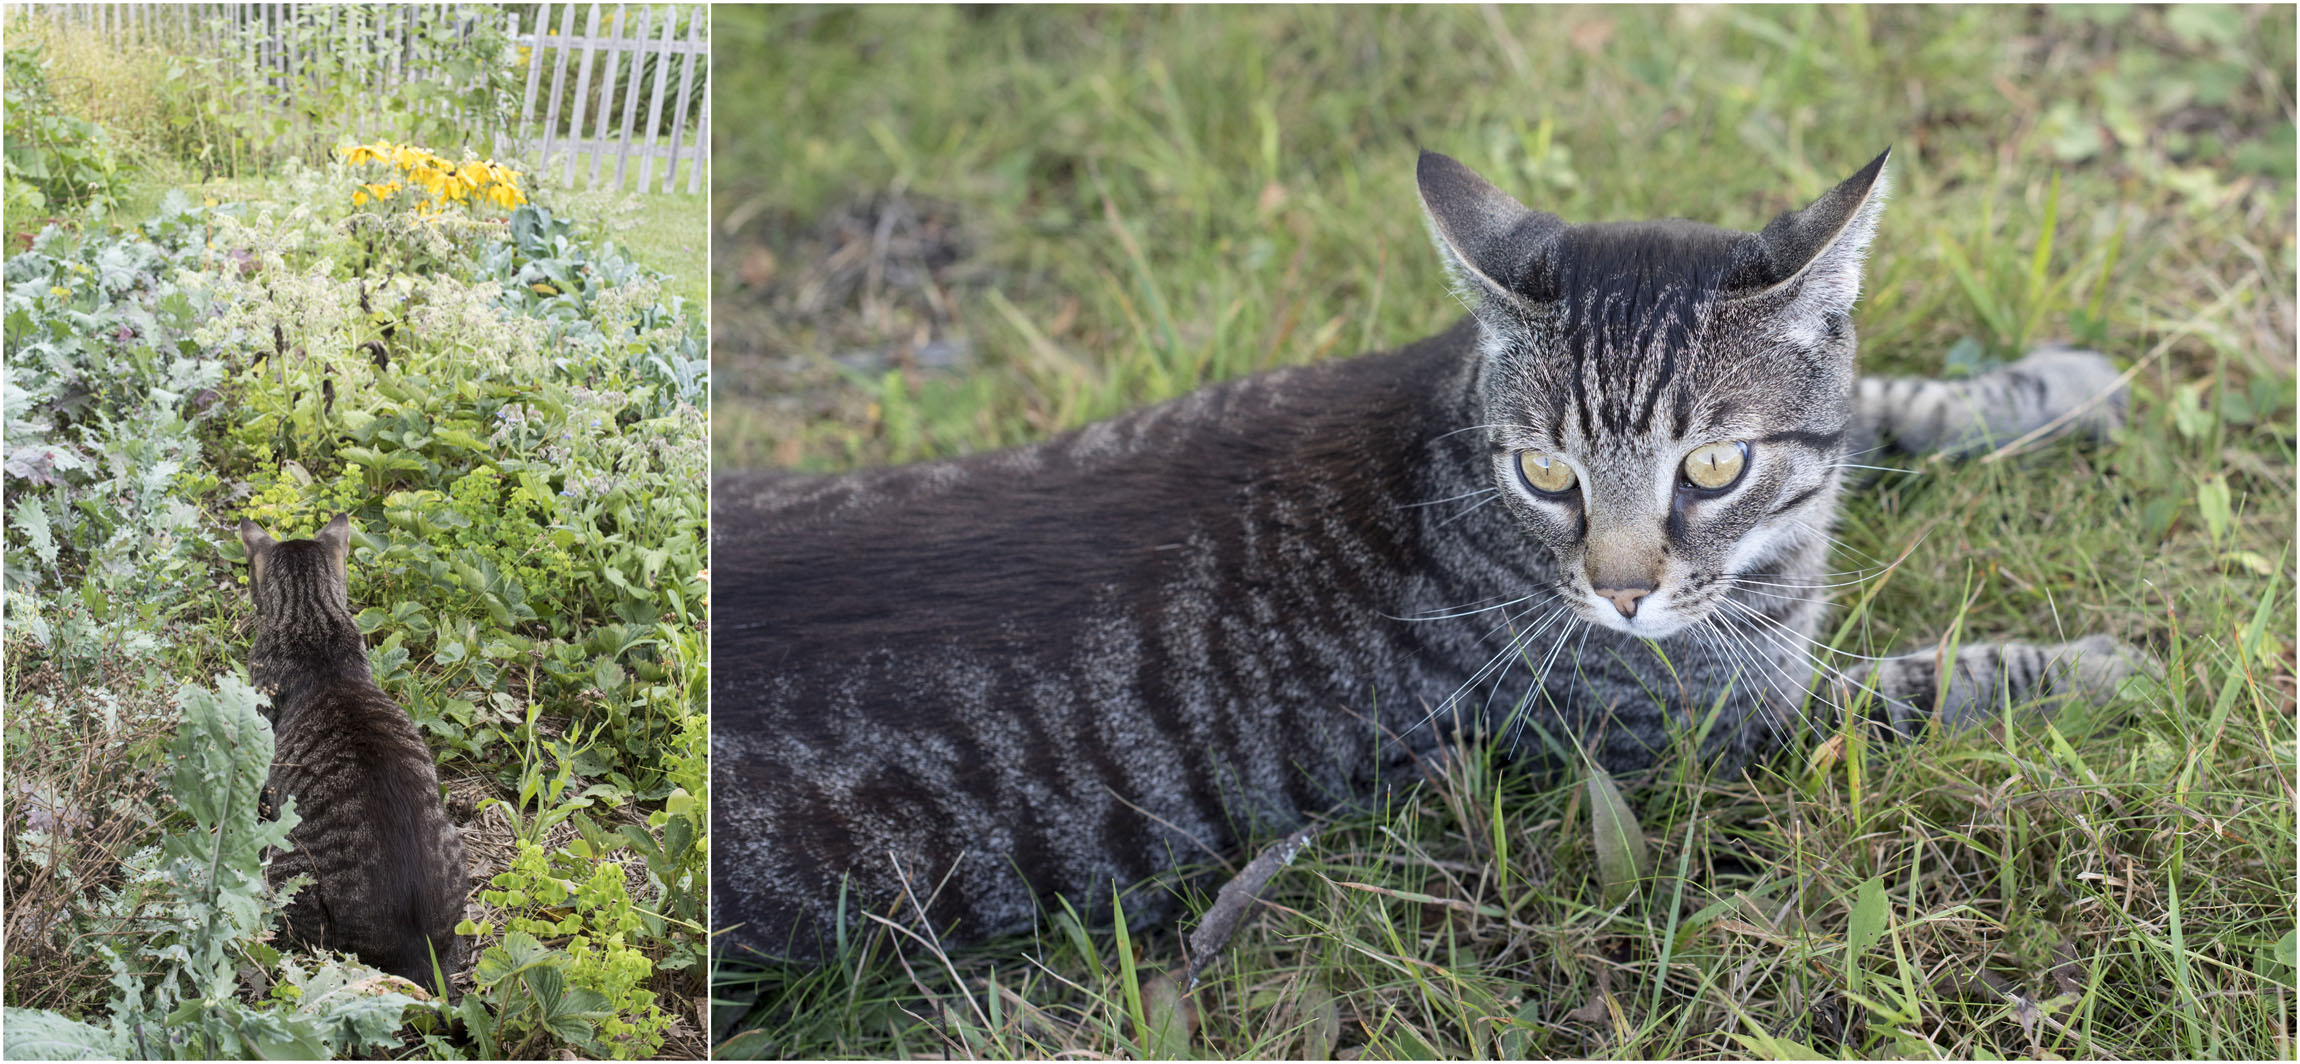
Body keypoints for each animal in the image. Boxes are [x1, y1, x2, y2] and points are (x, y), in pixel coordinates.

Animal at [708, 149, 2143, 965]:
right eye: (1549, 474)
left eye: (1712, 467)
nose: (1622, 590)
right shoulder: (1704, 737)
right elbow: (1918, 682)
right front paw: (2096, 664)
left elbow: (1879, 408)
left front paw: (2039, 391)